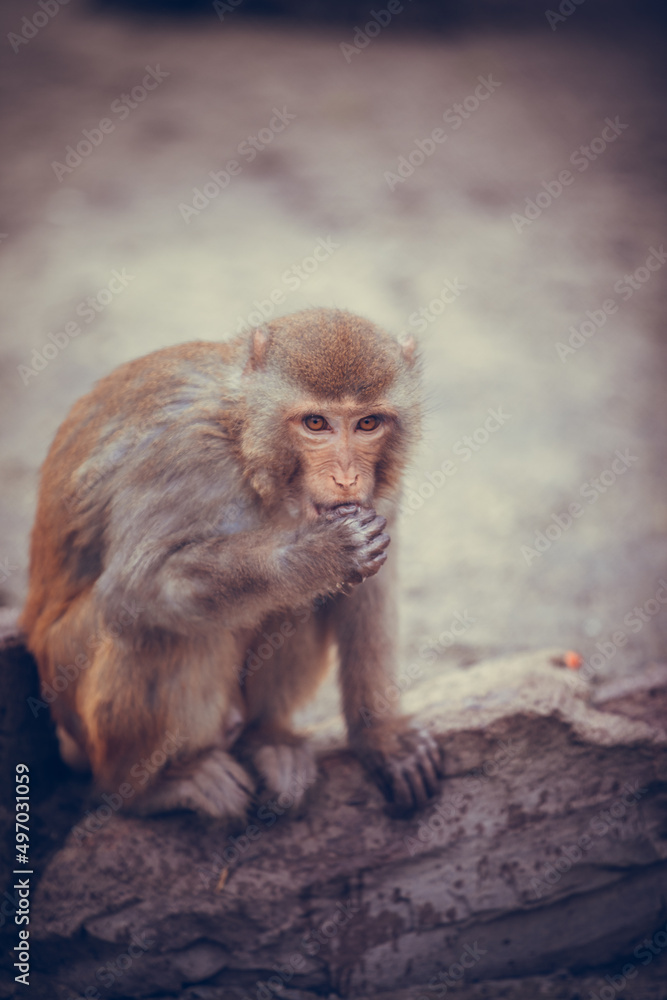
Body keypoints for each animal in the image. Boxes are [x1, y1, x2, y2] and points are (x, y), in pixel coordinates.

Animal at [21, 307, 444, 820]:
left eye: (367, 423)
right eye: (316, 423)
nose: (346, 478)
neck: (243, 438)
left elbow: (368, 590)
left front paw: (382, 735)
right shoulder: (187, 457)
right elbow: (136, 587)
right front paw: (316, 555)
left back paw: (269, 741)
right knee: (158, 628)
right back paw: (148, 788)